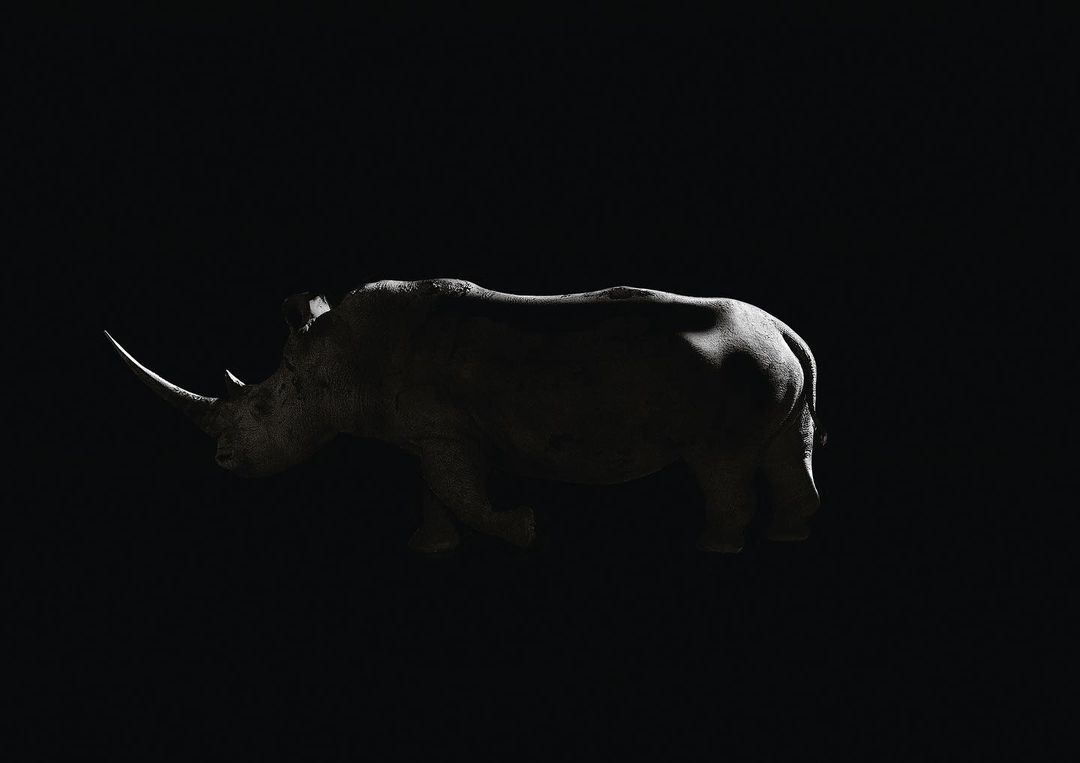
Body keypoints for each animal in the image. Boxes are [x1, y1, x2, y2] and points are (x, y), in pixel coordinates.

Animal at [106, 279, 825, 553]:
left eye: (258, 406)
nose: (222, 460)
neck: (335, 356)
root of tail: (786, 330)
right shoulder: (428, 433)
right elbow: (436, 490)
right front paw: (431, 548)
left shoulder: (445, 430)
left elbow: (460, 489)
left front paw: (526, 528)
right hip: (767, 361)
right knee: (786, 450)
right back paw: (789, 537)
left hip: (736, 368)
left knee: (720, 461)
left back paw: (713, 547)